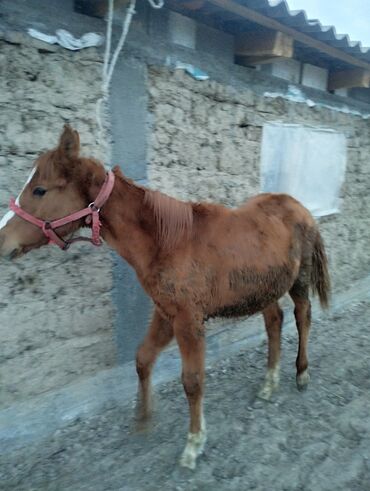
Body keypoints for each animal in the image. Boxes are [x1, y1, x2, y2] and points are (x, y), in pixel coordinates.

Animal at [0, 126, 330, 468]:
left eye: (40, 190)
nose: (3, 240)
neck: (167, 242)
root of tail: (299, 207)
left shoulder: (188, 321)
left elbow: (192, 380)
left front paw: (194, 443)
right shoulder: (165, 313)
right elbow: (143, 359)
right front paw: (143, 418)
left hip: (299, 282)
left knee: (302, 317)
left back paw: (301, 373)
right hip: (264, 289)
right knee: (275, 322)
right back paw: (268, 383)